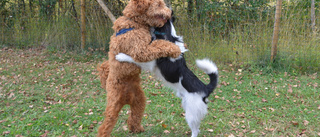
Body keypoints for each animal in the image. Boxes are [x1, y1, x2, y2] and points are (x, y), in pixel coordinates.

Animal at [96, 0, 182, 136]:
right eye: (158, 4)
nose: (171, 11)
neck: (134, 22)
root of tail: (126, 98)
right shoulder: (141, 50)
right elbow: (160, 45)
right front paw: (175, 49)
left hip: (139, 100)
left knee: (134, 116)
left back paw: (137, 129)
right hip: (113, 105)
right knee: (105, 126)